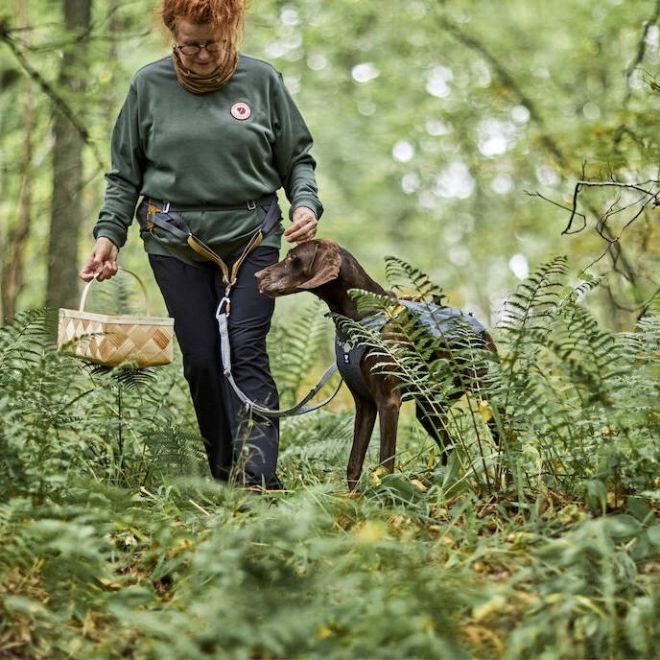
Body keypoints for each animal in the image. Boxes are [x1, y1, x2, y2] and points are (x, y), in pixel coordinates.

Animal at [254, 238, 500, 490]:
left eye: (292, 258)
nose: (256, 275)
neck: (357, 320)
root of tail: (477, 323)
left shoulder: (388, 402)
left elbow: (385, 465)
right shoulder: (364, 404)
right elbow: (353, 464)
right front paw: (354, 498)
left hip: (486, 396)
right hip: (430, 406)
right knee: (450, 449)